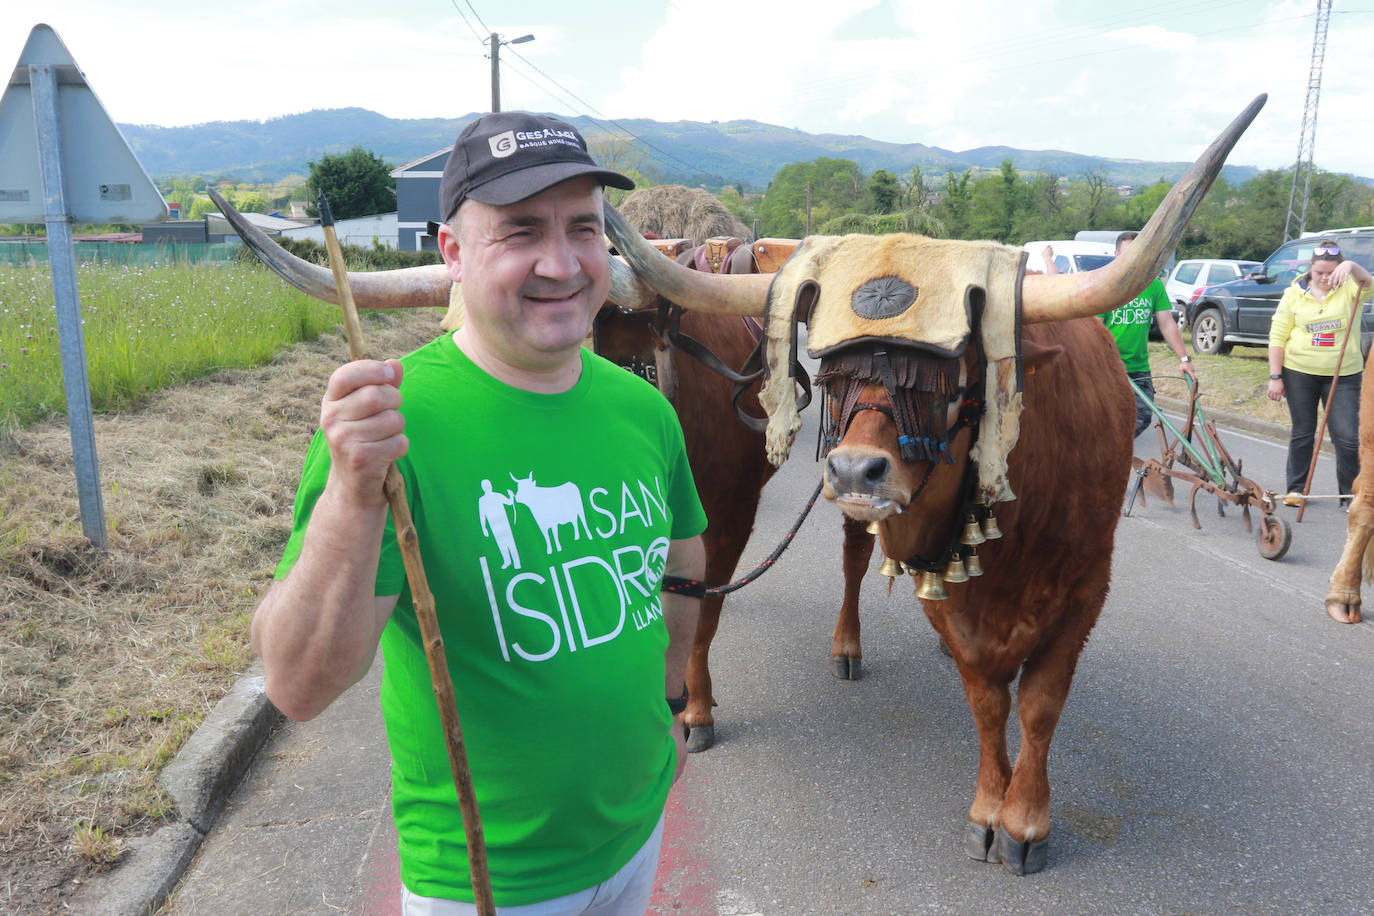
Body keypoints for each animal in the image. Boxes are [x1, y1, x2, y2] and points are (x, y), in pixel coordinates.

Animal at [601, 94, 1264, 873]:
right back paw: (846, 646)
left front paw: (1024, 822)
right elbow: (986, 700)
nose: (852, 469)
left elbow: (1039, 705)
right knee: (853, 560)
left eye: (949, 379)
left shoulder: (1085, 590)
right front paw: (988, 809)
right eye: (834, 371)